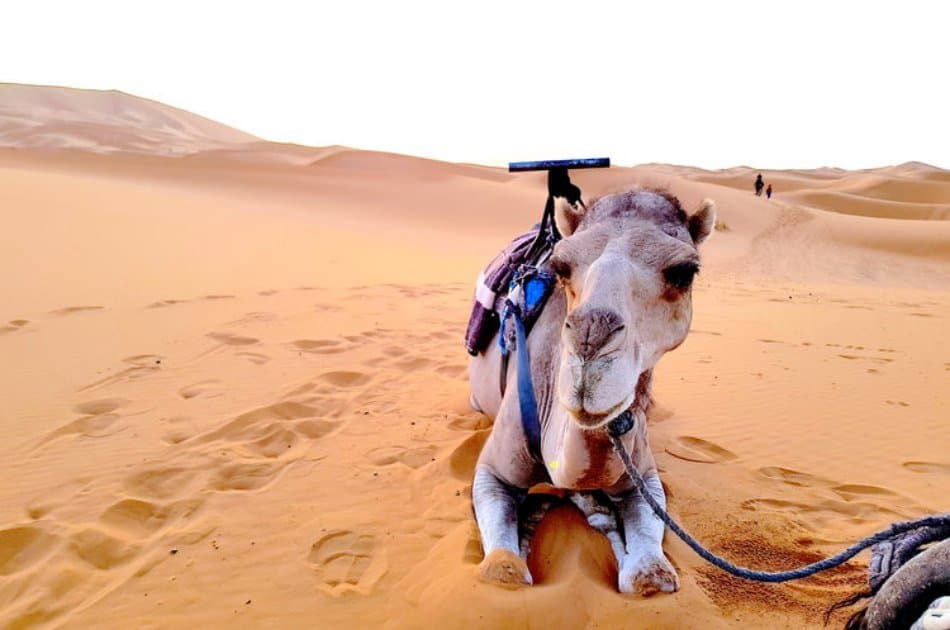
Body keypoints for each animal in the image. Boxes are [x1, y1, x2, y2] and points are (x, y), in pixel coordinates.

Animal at [468, 187, 716, 595]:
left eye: (685, 272)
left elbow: (652, 575)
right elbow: (503, 569)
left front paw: (599, 515)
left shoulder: (643, 475)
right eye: (562, 266)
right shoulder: (493, 467)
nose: (590, 339)